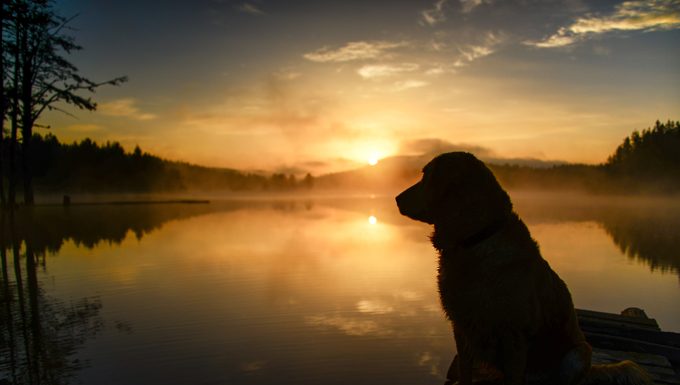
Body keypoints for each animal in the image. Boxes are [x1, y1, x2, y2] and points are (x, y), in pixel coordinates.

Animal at [396, 152, 652, 384]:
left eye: (426, 175)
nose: (397, 198)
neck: (475, 240)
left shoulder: (514, 335)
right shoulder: (462, 327)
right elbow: (466, 373)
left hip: (577, 355)